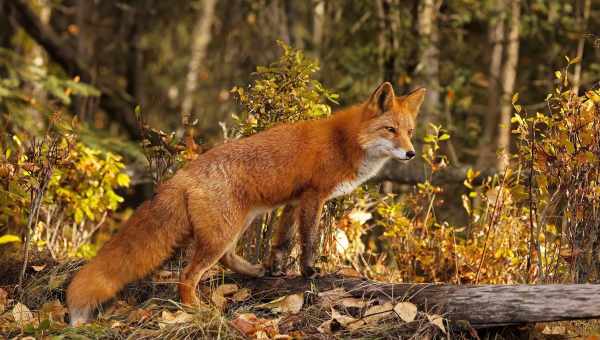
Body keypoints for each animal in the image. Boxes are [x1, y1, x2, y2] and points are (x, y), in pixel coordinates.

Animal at [67, 81, 422, 324]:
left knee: (225, 260)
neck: (344, 141)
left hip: (236, 225)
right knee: (188, 277)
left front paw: (277, 268)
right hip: (225, 231)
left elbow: (282, 240)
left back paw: (253, 272)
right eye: (390, 129)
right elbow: (308, 240)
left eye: (409, 131)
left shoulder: (293, 201)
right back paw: (197, 311)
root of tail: (182, 176)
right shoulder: (313, 196)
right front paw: (309, 271)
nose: (411, 153)